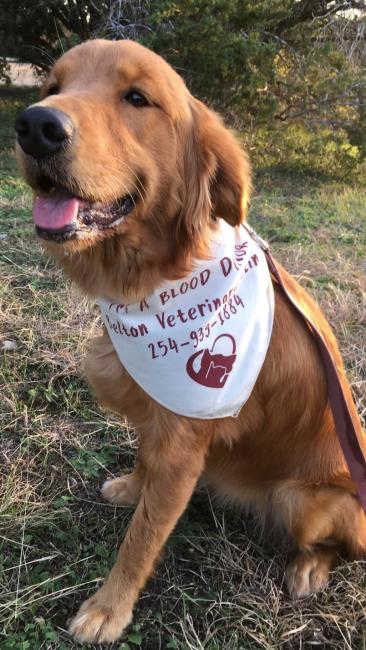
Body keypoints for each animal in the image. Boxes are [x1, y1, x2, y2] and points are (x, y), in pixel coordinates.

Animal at [15, 40, 366, 644]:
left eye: (137, 98)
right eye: (52, 87)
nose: (36, 125)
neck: (155, 281)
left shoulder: (184, 445)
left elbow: (142, 538)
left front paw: (108, 609)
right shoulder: (158, 412)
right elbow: (144, 458)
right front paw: (134, 486)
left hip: (304, 500)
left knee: (339, 545)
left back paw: (309, 568)